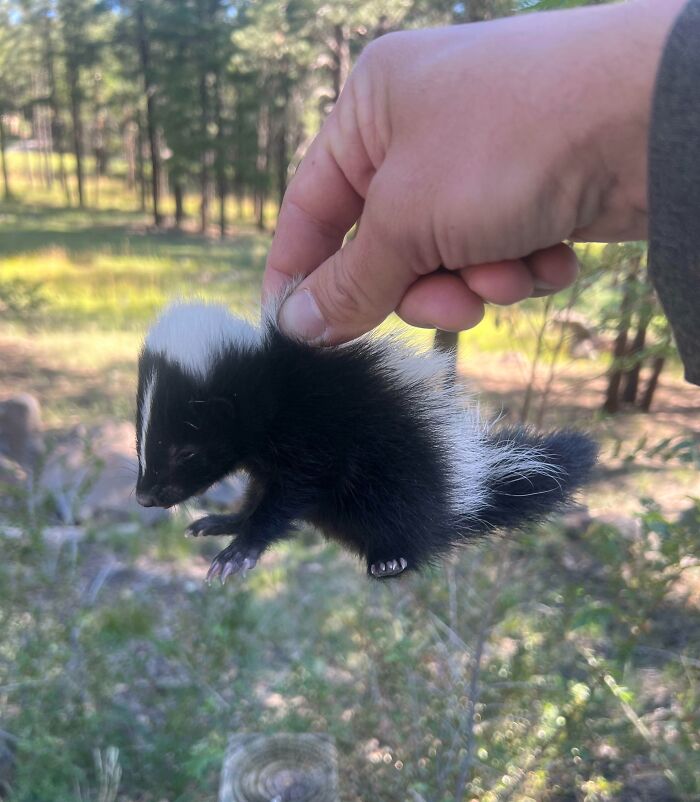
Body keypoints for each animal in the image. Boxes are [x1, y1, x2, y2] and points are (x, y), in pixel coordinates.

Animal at [135, 300, 596, 580]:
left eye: (187, 451)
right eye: (143, 440)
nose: (145, 496)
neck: (271, 381)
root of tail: (459, 497)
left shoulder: (315, 434)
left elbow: (293, 491)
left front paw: (241, 552)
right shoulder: (270, 455)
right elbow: (264, 491)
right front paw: (230, 526)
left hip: (395, 482)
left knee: (397, 518)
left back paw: (391, 560)